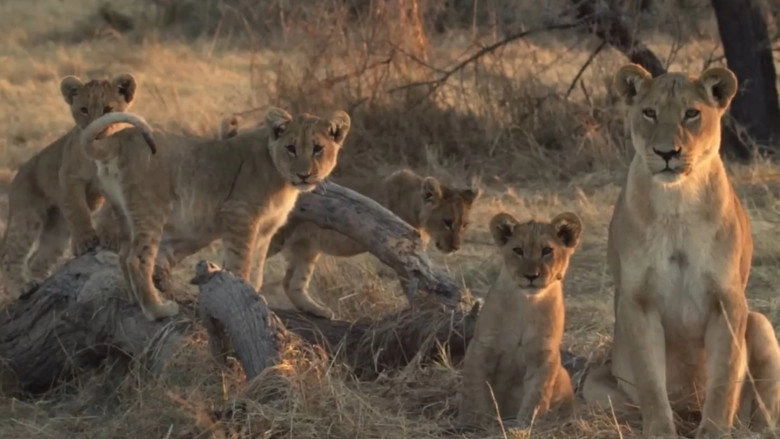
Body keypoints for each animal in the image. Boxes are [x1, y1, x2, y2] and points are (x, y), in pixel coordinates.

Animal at [0, 74, 137, 298]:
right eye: (84, 110)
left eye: (108, 109)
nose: (95, 132)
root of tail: (18, 173)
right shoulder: (70, 177)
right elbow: (79, 210)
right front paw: (85, 242)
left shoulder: (118, 179)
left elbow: (110, 212)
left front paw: (110, 238)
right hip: (27, 214)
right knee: (11, 254)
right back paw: (23, 287)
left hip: (58, 228)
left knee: (38, 258)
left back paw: (41, 283)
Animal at [80, 107, 351, 321]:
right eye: (291, 148)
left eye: (318, 149)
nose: (304, 175)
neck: (283, 179)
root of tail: (120, 136)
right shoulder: (240, 215)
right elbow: (241, 263)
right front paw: (244, 300)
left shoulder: (265, 230)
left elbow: (257, 269)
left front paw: (256, 296)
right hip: (151, 210)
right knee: (137, 259)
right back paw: (157, 310)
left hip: (125, 212)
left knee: (123, 255)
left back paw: (136, 302)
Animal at [456, 211, 580, 430]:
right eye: (518, 250)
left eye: (547, 251)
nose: (531, 276)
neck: (527, 304)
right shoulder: (482, 346)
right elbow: (475, 388)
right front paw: (476, 421)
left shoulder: (544, 354)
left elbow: (537, 395)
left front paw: (524, 426)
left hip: (563, 375)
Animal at [581, 64, 780, 437]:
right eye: (649, 112)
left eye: (691, 114)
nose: (666, 153)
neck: (677, 202)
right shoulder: (638, 302)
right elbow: (650, 381)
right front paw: (660, 430)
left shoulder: (727, 300)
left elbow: (724, 378)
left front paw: (714, 430)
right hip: (594, 385)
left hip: (759, 323)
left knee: (764, 410)